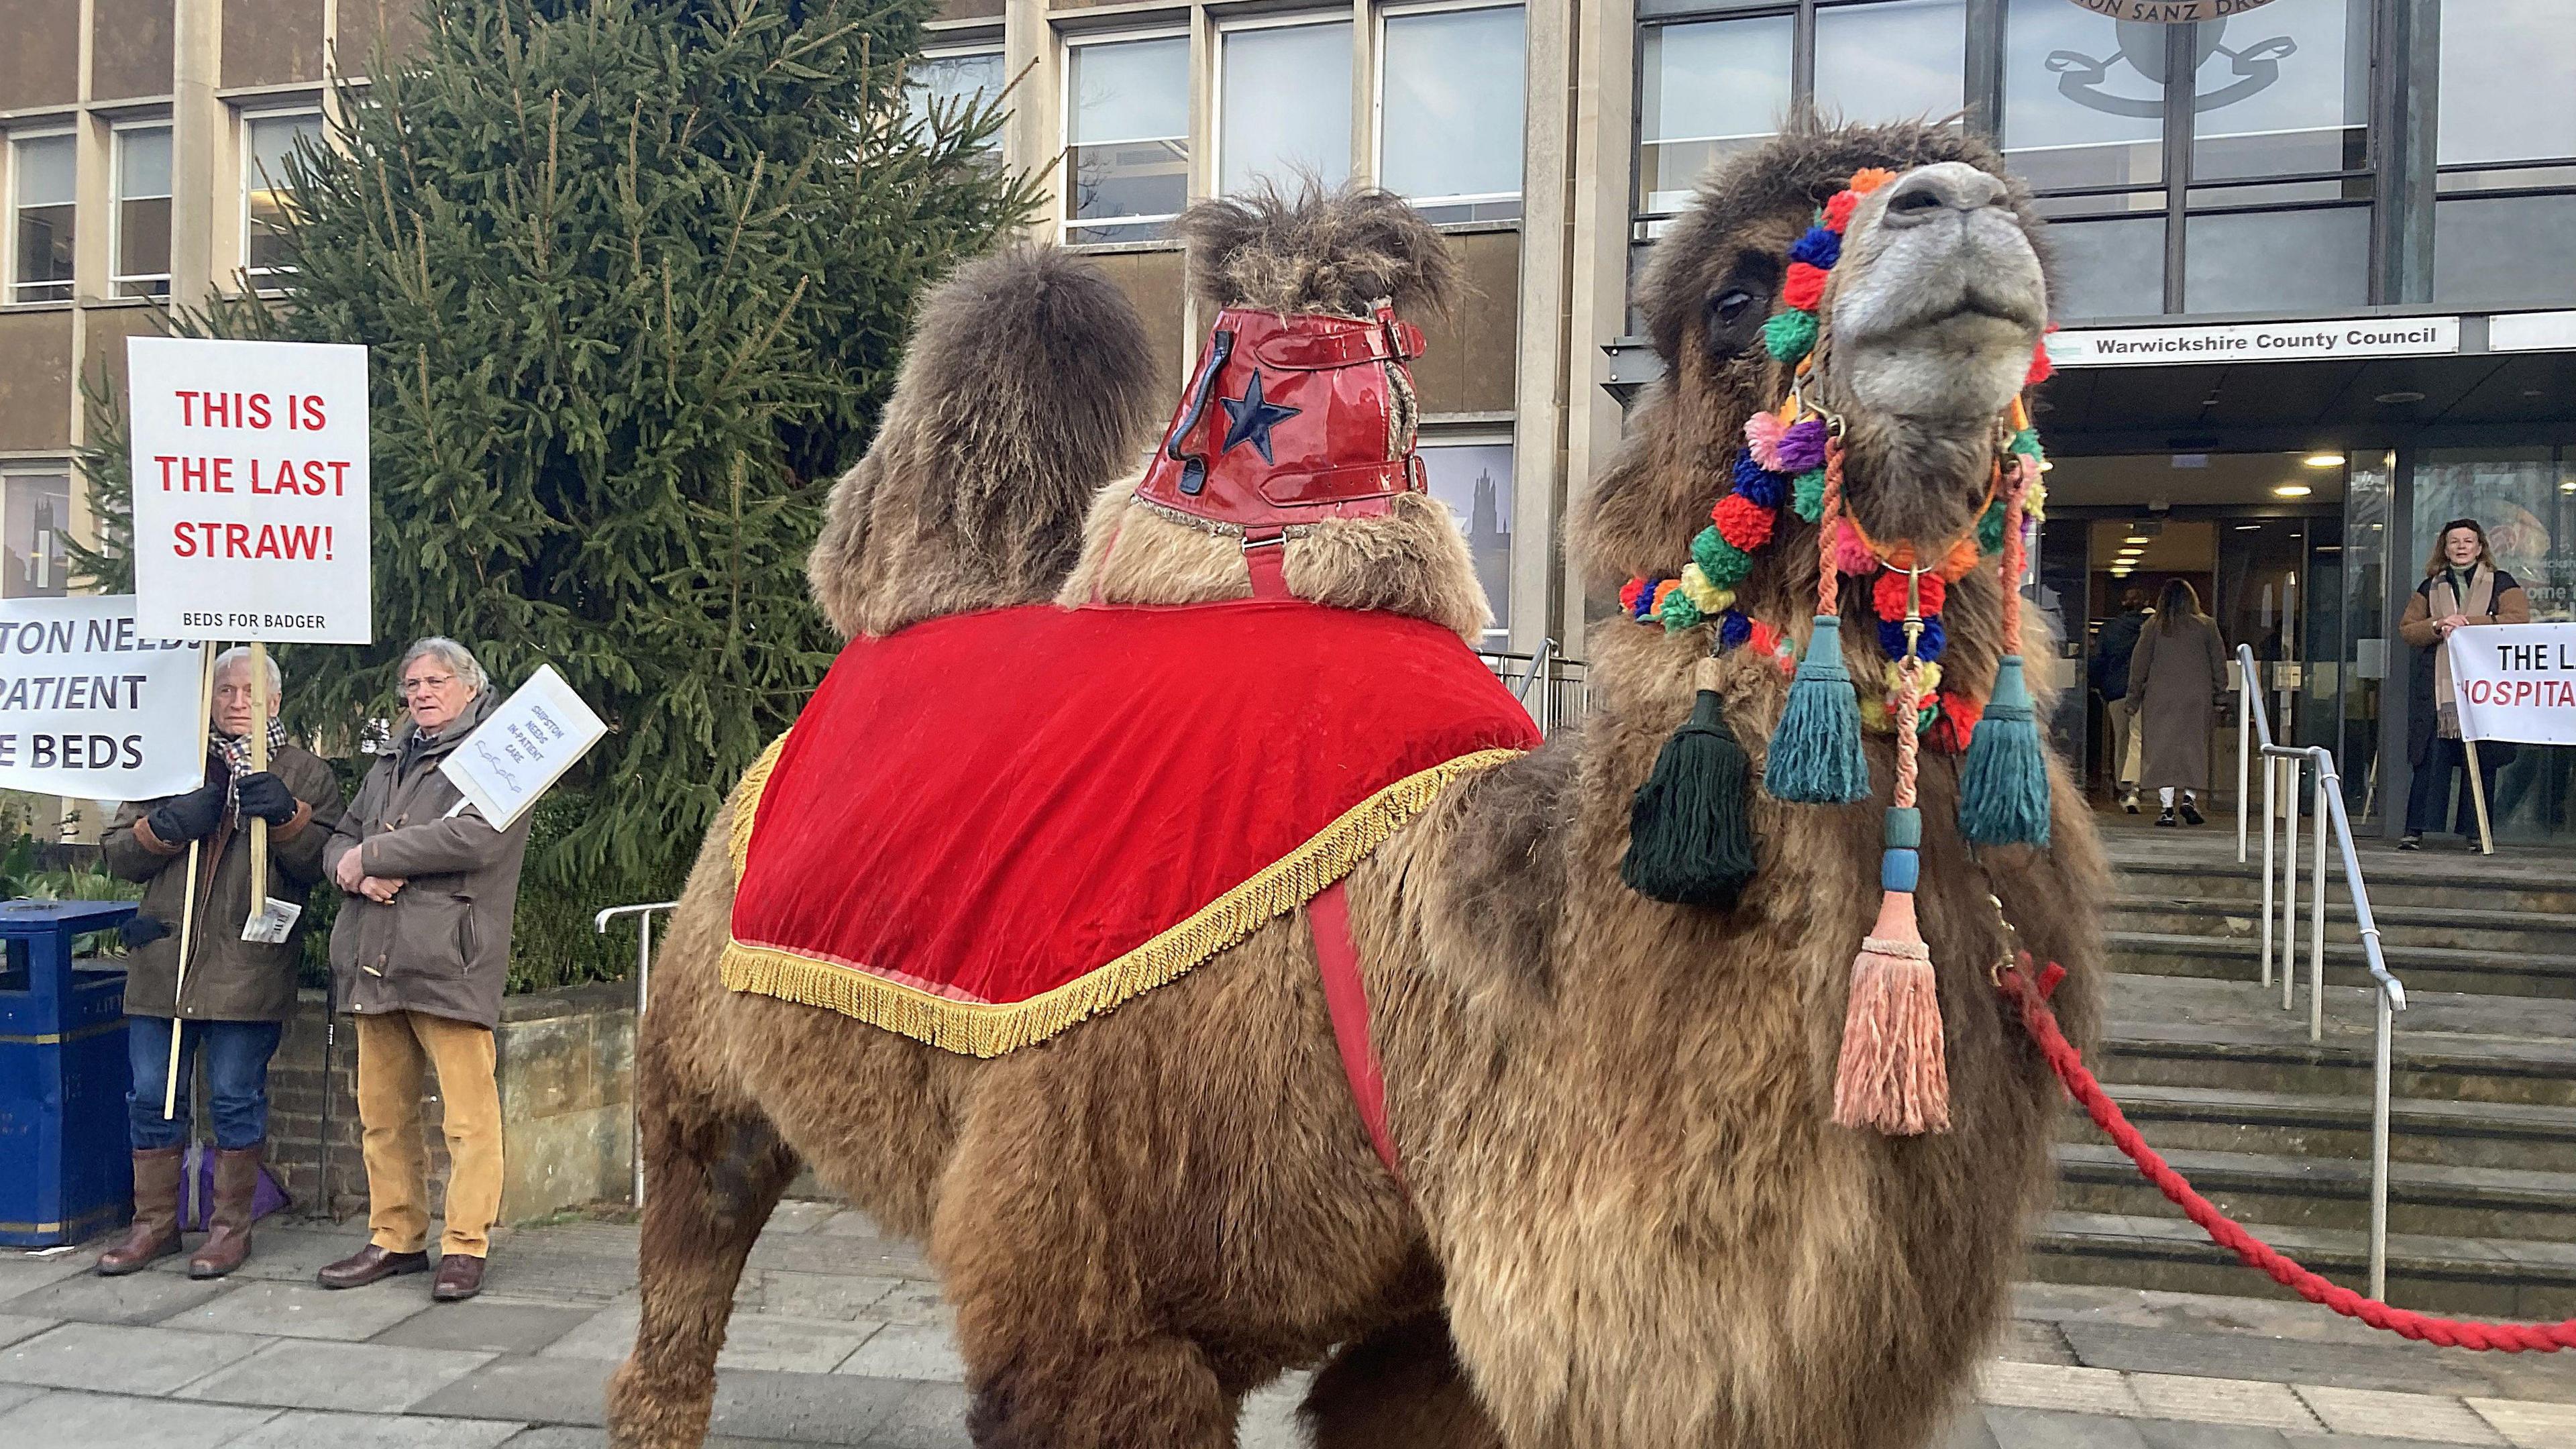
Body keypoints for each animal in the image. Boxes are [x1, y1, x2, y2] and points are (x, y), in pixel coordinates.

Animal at [612, 118, 2102, 1433]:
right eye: (1735, 292)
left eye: (2028, 229)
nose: (1957, 208)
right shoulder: (1094, 1317)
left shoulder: (1430, 1340)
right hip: (702, 1076)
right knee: (674, 1310)